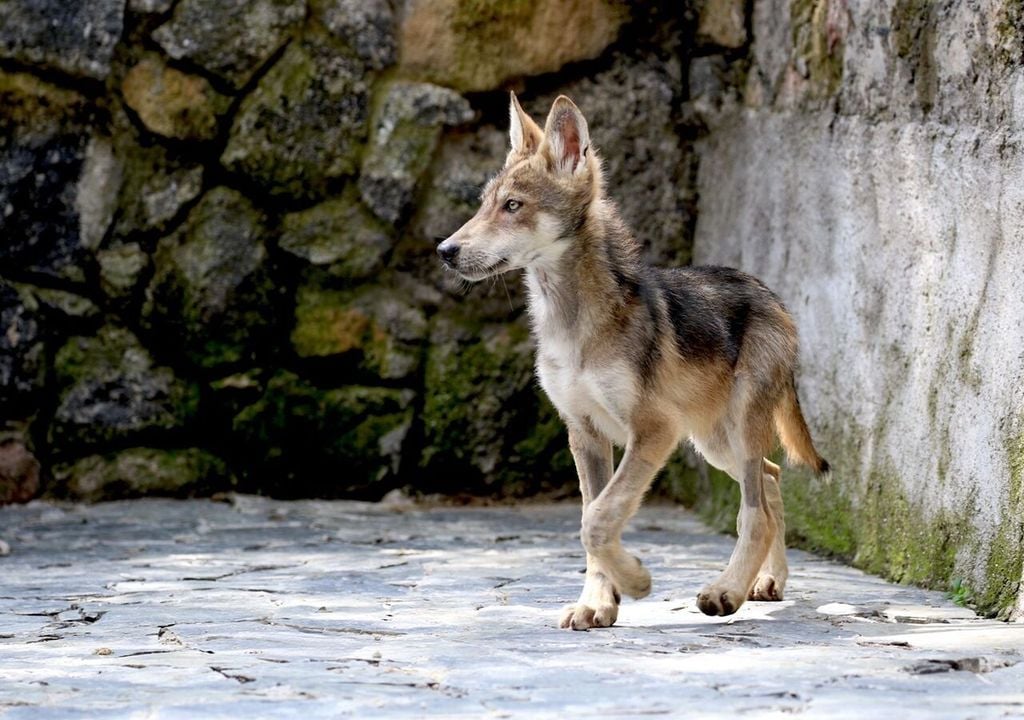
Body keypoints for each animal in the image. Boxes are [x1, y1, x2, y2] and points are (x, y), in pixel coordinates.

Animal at [437, 94, 829, 630]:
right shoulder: (584, 434)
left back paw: (726, 591)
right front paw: (599, 603)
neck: (571, 324)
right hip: (712, 442)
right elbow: (591, 520)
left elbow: (597, 521)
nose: (444, 250)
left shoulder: (653, 431)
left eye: (512, 206)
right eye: (483, 204)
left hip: (733, 431)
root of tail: (771, 295)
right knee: (771, 481)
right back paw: (767, 583)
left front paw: (636, 581)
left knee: (756, 511)